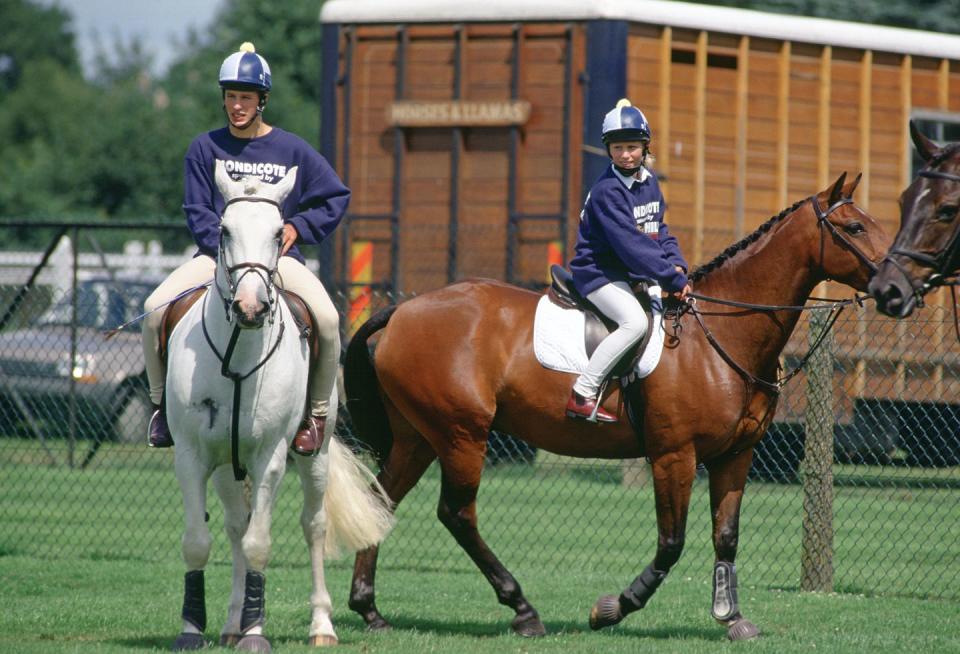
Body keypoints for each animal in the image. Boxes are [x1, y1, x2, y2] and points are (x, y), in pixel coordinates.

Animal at [166, 161, 394, 652]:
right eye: (224, 231)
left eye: (277, 233)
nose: (251, 306)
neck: (238, 350)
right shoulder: (192, 456)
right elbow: (199, 541)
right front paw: (193, 628)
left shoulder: (269, 457)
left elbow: (260, 545)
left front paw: (256, 633)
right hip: (227, 467)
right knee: (236, 524)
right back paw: (233, 621)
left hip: (315, 456)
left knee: (314, 525)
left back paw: (320, 625)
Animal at [342, 173, 888, 640]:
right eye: (854, 227)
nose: (897, 286)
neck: (720, 331)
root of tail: (403, 309)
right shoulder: (674, 456)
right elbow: (671, 543)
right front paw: (612, 608)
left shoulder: (736, 456)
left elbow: (726, 536)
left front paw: (731, 617)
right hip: (461, 435)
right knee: (457, 513)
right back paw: (522, 608)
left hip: (419, 437)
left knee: (381, 500)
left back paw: (369, 610)